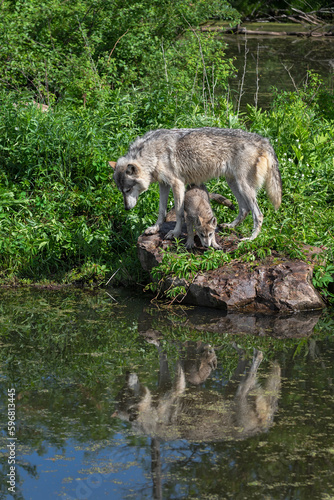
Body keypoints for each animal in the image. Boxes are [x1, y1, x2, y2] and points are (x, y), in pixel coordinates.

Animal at [112, 127, 282, 240]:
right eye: (121, 191)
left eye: (128, 190)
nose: (126, 208)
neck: (153, 154)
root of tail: (264, 140)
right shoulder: (163, 185)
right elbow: (161, 211)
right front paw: (155, 228)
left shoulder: (177, 184)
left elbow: (179, 212)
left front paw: (175, 233)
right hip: (233, 183)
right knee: (244, 209)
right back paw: (229, 226)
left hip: (243, 186)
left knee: (258, 214)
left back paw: (250, 239)